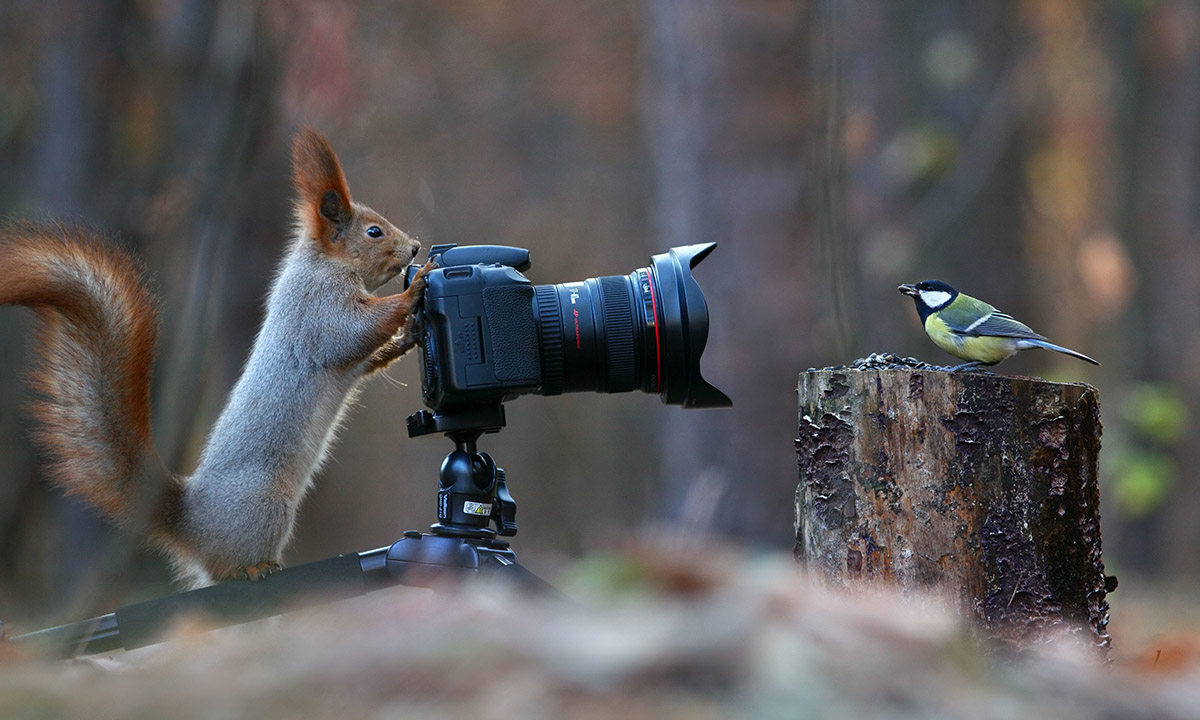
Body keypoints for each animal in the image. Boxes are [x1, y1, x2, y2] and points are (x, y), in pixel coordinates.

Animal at [0, 127, 434, 589]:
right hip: (266, 502)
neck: (324, 264)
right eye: (374, 232)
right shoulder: (317, 309)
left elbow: (366, 357)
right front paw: (415, 289)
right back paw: (255, 567)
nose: (415, 248)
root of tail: (192, 523)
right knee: (226, 568)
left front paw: (409, 335)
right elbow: (352, 332)